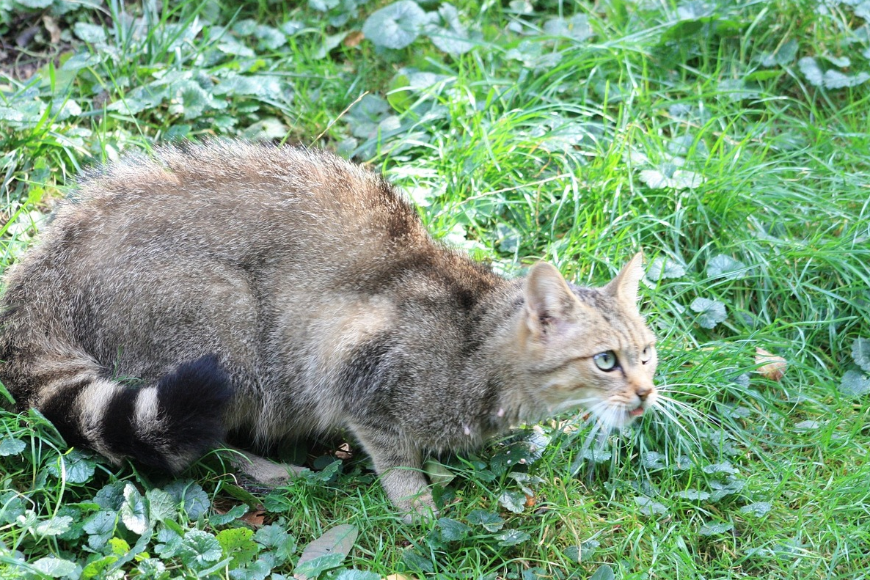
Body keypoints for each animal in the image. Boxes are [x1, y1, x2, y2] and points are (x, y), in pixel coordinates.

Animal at [0, 140, 656, 520]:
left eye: (646, 354)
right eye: (605, 360)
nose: (648, 392)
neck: (475, 341)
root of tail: (42, 270)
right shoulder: (357, 367)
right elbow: (394, 459)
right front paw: (420, 509)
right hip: (225, 324)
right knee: (203, 440)